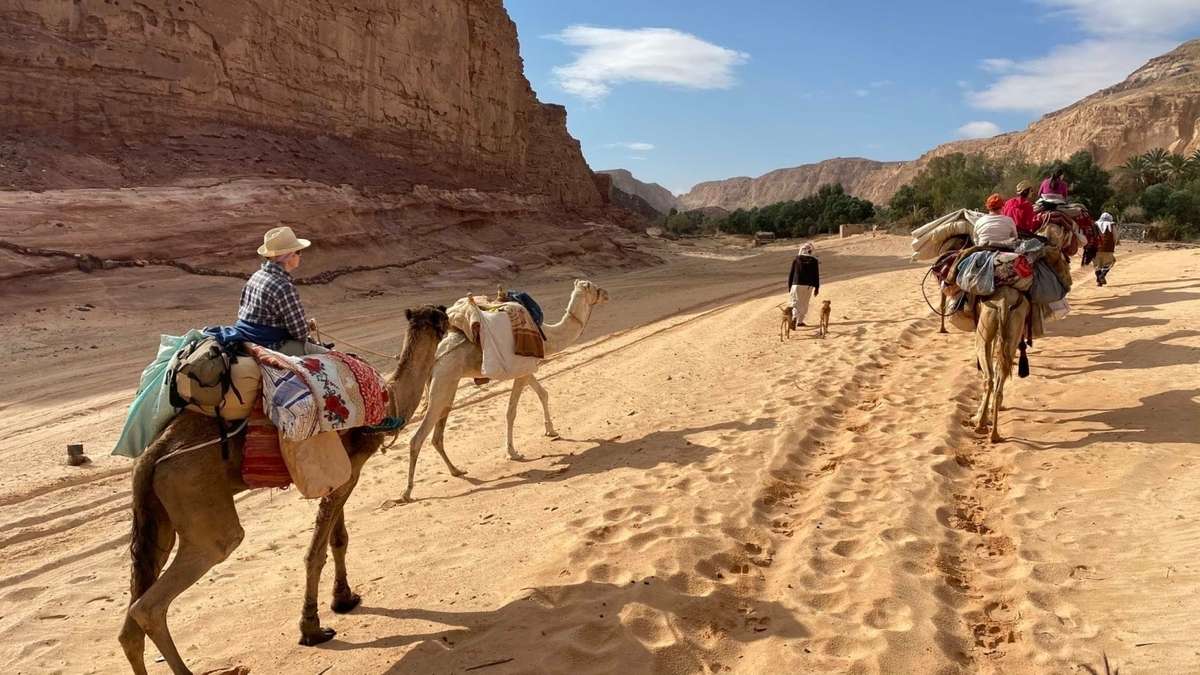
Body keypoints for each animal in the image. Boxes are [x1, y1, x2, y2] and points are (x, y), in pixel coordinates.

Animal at [119, 306, 448, 672]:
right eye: (442, 316)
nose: (448, 315)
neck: (388, 402)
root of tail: (153, 452)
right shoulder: (346, 472)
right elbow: (316, 553)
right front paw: (312, 628)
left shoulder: (341, 471)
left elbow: (338, 540)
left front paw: (344, 599)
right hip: (194, 494)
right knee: (160, 595)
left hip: (156, 513)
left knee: (136, 604)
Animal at [398, 276, 609, 502]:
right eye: (594, 288)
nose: (606, 294)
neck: (548, 336)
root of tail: (436, 356)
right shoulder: (522, 369)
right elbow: (511, 411)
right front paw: (513, 452)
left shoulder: (528, 369)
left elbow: (543, 393)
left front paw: (551, 431)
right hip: (443, 382)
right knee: (417, 438)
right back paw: (407, 492)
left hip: (447, 386)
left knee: (437, 434)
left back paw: (456, 470)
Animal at [974, 283, 1032, 441]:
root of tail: (1004, 303)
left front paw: (980, 414)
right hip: (1014, 330)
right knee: (1002, 373)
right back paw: (994, 433)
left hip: (984, 330)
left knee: (989, 378)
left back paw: (980, 425)